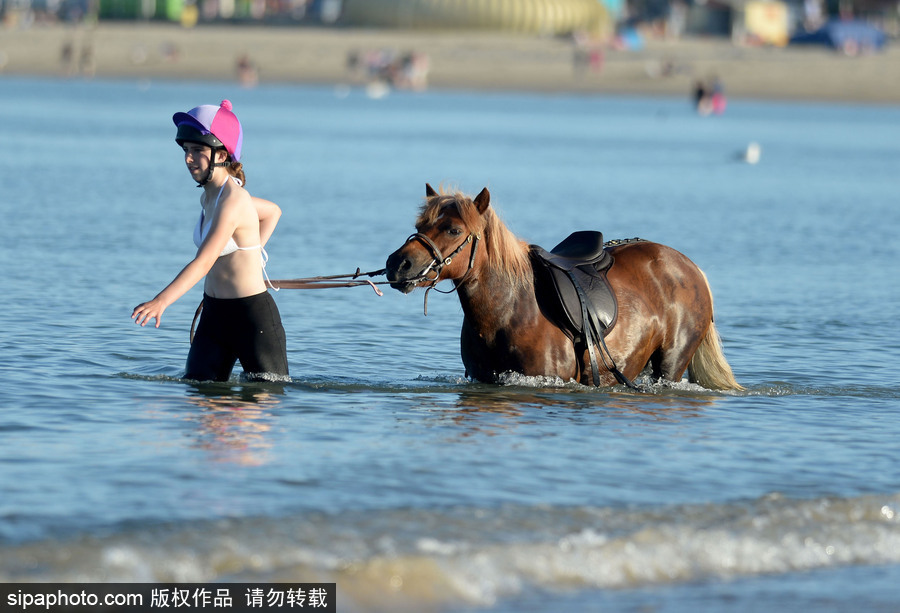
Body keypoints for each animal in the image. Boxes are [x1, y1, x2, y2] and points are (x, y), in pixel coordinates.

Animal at [386, 184, 744, 390]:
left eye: (454, 230)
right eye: (420, 225)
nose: (397, 264)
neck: (509, 309)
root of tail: (689, 266)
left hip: (670, 364)